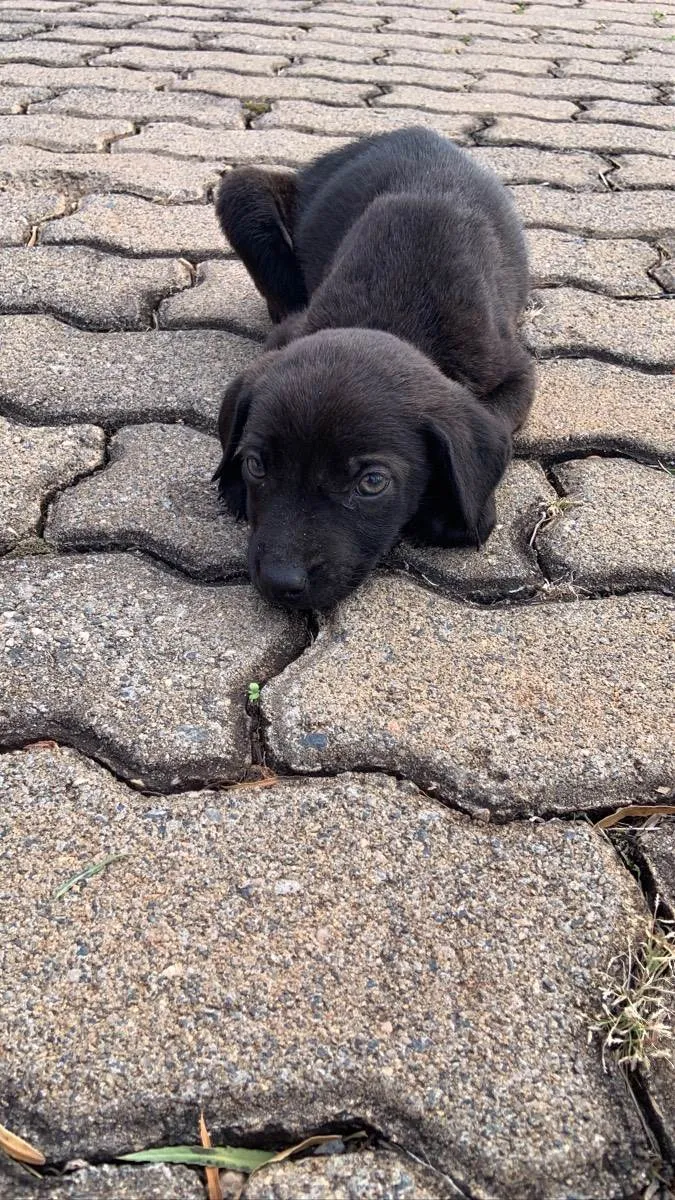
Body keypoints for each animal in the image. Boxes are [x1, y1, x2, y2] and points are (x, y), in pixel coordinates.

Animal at [213, 129, 530, 609]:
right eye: (255, 465)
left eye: (372, 483)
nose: (280, 583)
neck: (393, 314)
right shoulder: (290, 333)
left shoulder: (514, 369)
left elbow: (497, 419)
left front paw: (451, 508)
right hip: (242, 193)